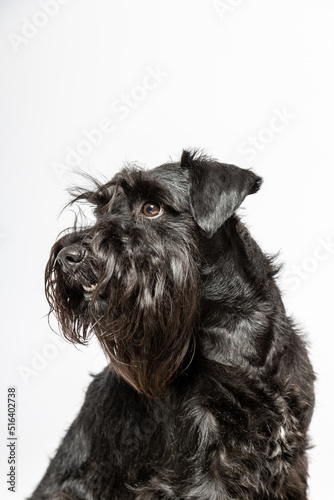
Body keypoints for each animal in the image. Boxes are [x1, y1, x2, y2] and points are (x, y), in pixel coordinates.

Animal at [29, 150, 316, 498]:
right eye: (101, 210)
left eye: (152, 208)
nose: (68, 256)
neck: (236, 331)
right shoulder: (203, 473)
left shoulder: (290, 465)